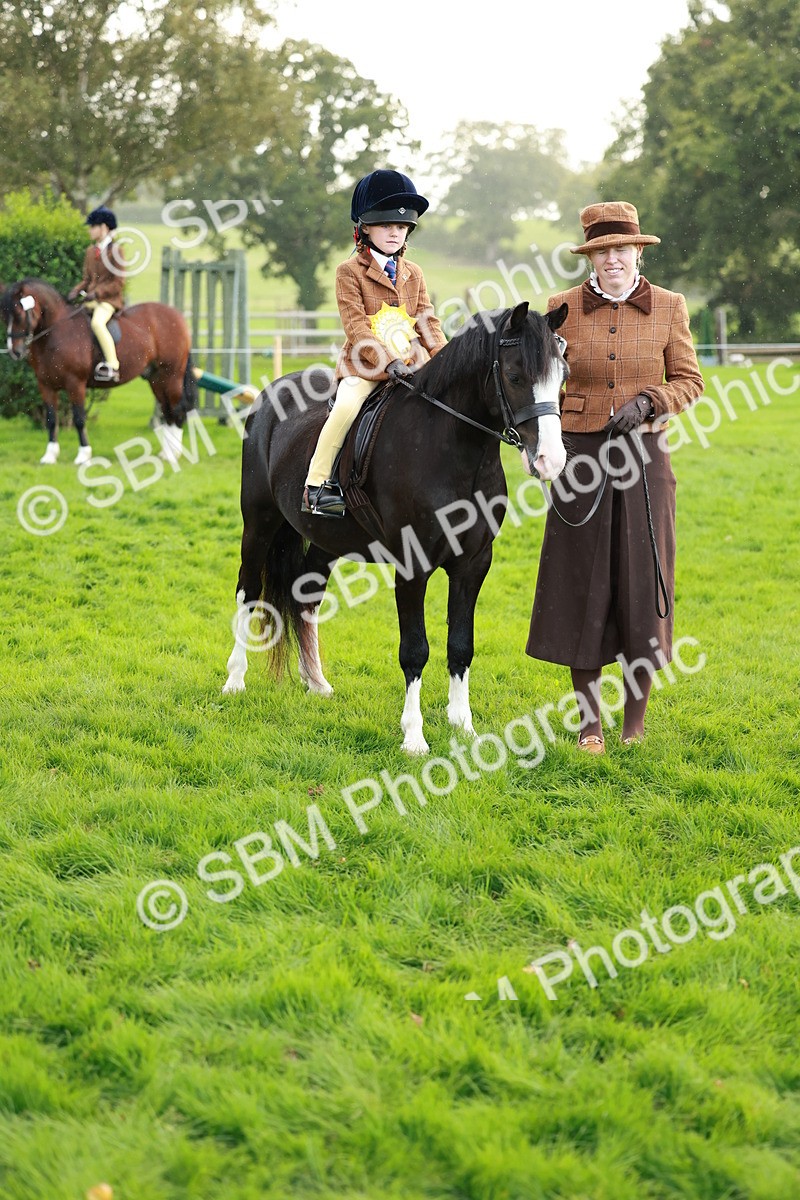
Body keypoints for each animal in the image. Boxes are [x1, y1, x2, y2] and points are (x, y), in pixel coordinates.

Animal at [1, 278, 197, 465]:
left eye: (19, 314)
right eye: (4, 316)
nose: (15, 352)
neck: (56, 332)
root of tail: (177, 316)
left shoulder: (75, 383)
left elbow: (79, 419)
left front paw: (83, 456)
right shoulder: (45, 385)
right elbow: (51, 419)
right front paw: (49, 457)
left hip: (171, 375)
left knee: (176, 410)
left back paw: (173, 455)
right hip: (156, 379)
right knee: (167, 410)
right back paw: (166, 453)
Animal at [222, 300, 569, 754]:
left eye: (562, 377)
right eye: (515, 376)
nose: (550, 460)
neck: (454, 450)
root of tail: (270, 394)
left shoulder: (473, 564)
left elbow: (461, 645)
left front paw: (464, 727)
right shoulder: (412, 566)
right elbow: (415, 650)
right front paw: (414, 737)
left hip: (324, 540)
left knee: (306, 599)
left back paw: (316, 682)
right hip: (259, 523)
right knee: (248, 591)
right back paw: (234, 679)